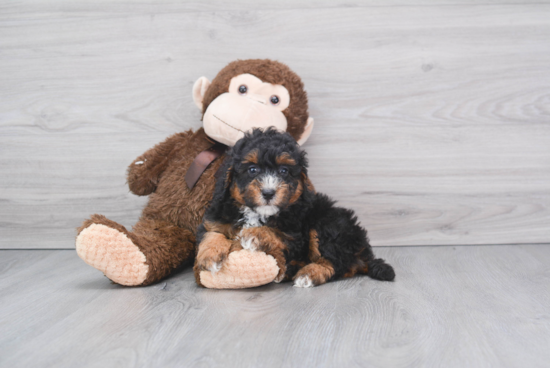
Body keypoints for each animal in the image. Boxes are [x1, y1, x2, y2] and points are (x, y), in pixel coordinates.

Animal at [195, 129, 396, 288]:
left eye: (284, 171)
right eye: (252, 170)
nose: (268, 193)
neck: (257, 213)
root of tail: (363, 248)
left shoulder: (295, 237)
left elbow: (273, 233)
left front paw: (253, 235)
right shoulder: (216, 217)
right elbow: (212, 233)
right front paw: (209, 256)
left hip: (328, 224)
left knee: (336, 263)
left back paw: (308, 274)